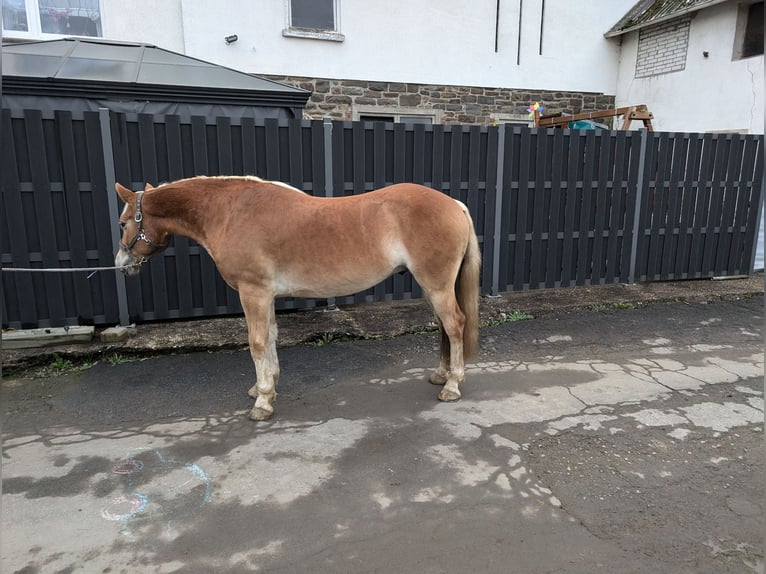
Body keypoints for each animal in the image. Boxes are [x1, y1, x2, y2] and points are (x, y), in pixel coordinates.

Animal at [114, 177, 480, 424]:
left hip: (437, 284)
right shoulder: (265, 296)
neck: (231, 212)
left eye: (122, 223)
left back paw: (452, 385)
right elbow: (272, 338)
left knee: (455, 325)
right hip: (433, 286)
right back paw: (441, 374)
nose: (120, 265)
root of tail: (455, 205)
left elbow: (257, 342)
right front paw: (266, 386)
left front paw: (262, 402)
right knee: (444, 327)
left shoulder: (253, 292)